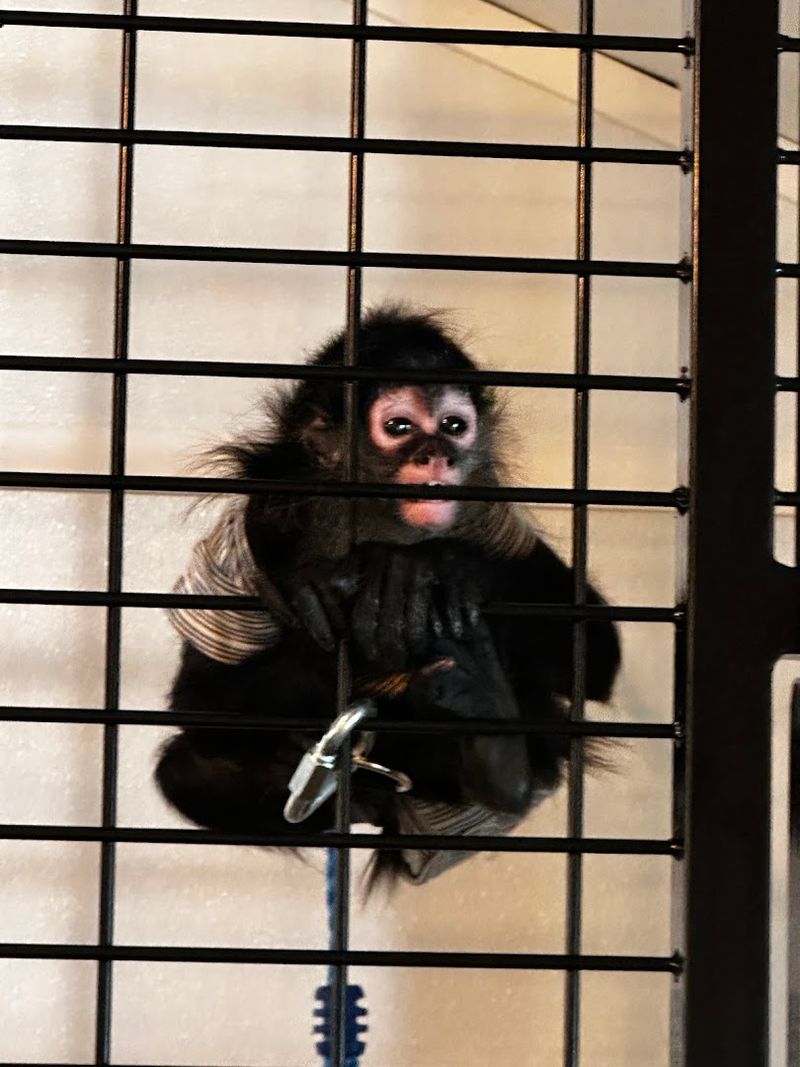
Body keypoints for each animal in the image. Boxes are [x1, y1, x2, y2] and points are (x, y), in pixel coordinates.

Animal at [156, 306, 621, 886]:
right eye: (399, 427)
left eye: (453, 426)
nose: (436, 455)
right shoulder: (243, 540)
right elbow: (198, 704)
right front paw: (318, 589)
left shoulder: (493, 520)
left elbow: (597, 657)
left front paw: (439, 567)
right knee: (190, 769)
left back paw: (494, 743)